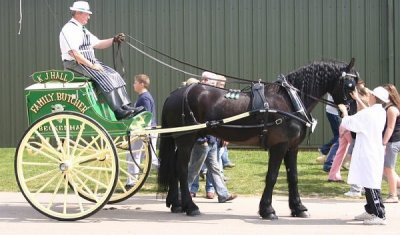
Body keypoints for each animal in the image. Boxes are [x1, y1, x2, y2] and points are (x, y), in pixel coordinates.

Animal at [157, 58, 360, 218]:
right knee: (182, 169)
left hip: (182, 140)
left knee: (174, 167)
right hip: (186, 139)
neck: (291, 100)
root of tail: (176, 94)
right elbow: (272, 176)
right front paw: (267, 210)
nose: (353, 112)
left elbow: (293, 177)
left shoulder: (292, 148)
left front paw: (298, 208)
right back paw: (191, 207)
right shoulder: (279, 146)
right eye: (350, 85)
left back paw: (176, 204)